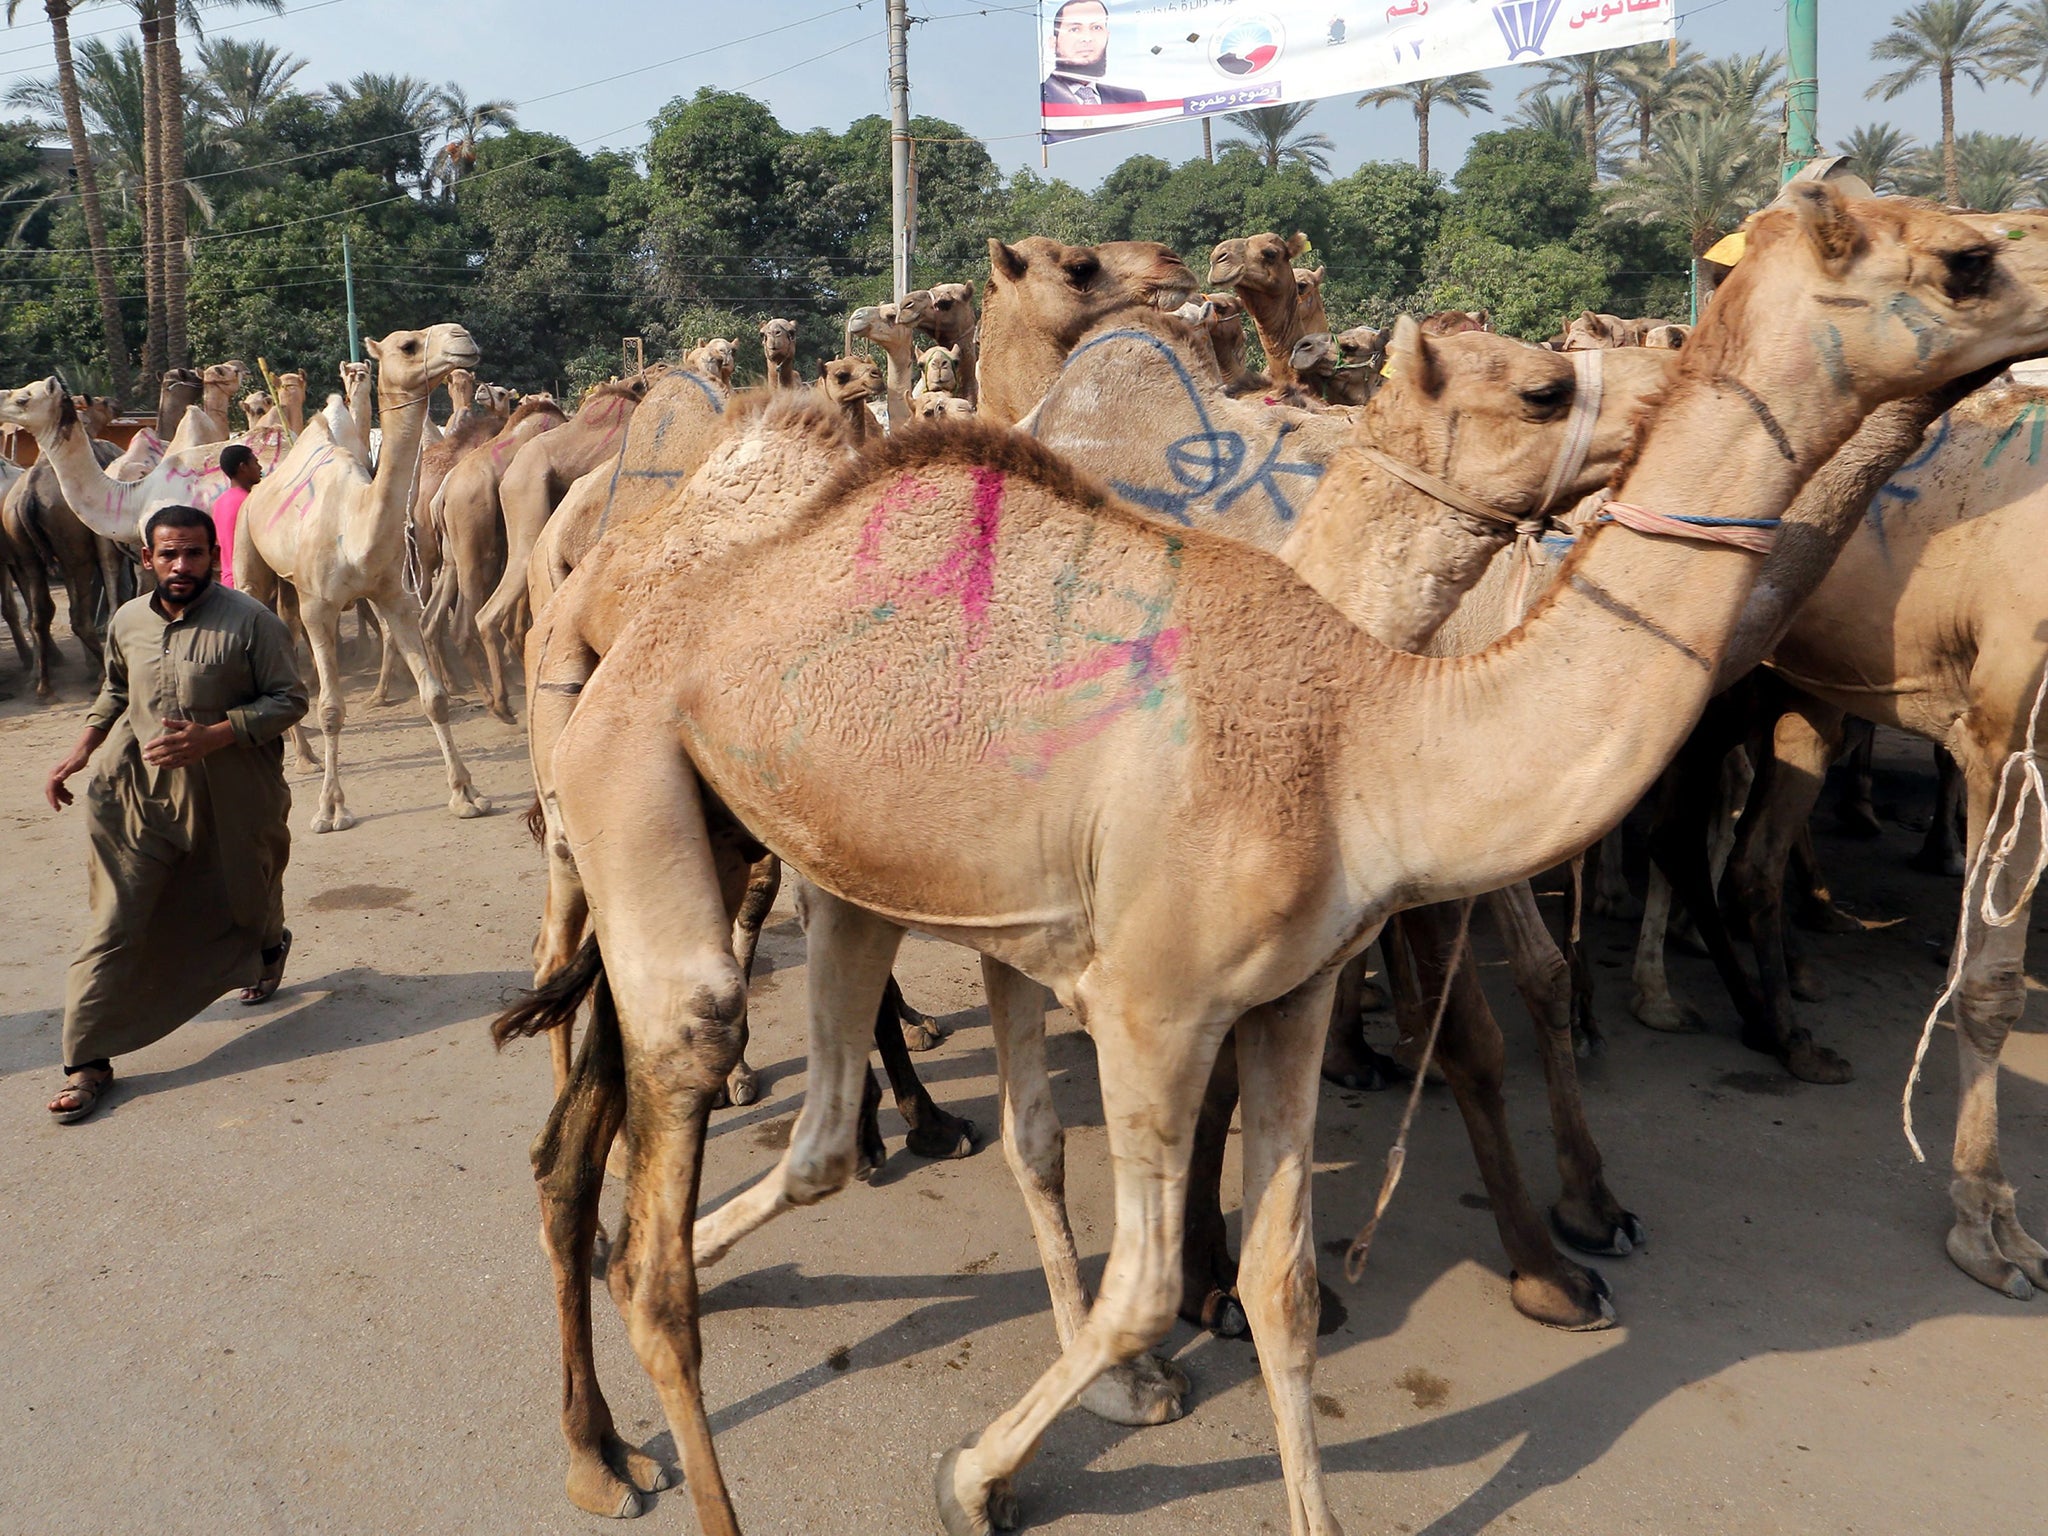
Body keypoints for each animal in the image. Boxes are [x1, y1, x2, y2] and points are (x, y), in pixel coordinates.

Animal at [234, 321, 489, 831]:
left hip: (290, 591)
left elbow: (433, 697)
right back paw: (302, 760)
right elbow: (331, 708)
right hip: (249, 557)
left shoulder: (393, 596)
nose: (462, 337)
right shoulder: (319, 607)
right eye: (407, 345)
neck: (355, 528)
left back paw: (306, 755)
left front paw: (466, 794)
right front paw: (330, 809)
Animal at [495, 186, 2048, 1531]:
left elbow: (1284, 1277)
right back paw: (633, 1425)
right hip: (629, 778)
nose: (2036, 273)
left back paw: (700, 1246)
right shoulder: (1149, 1005)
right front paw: (993, 1468)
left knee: (800, 1132)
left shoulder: (1291, 992)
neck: (1370, 729)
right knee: (678, 1087)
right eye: (1963, 262)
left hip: (830, 862)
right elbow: (1137, 1270)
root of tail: (638, 608)